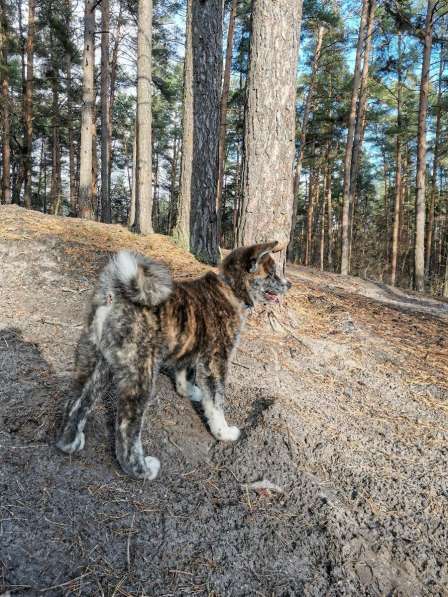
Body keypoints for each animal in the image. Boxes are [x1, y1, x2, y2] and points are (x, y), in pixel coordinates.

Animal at [57, 240, 290, 478]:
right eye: (272, 274)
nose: (289, 284)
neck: (229, 288)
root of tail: (115, 295)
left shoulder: (189, 348)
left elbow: (184, 373)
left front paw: (189, 391)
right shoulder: (216, 361)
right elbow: (216, 402)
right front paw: (223, 433)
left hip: (94, 361)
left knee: (76, 403)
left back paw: (70, 442)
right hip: (140, 376)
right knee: (126, 428)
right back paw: (141, 469)